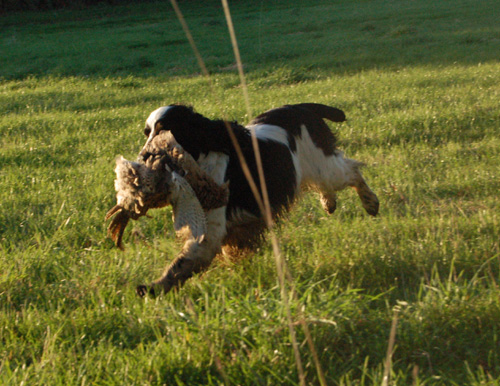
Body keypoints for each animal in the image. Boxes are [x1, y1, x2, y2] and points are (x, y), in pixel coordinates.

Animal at [135, 103, 376, 296]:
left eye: (165, 131)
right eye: (147, 133)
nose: (143, 157)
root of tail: (303, 107)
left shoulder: (210, 230)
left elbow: (184, 261)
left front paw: (152, 288)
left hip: (325, 168)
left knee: (352, 171)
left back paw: (371, 203)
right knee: (330, 184)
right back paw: (329, 203)